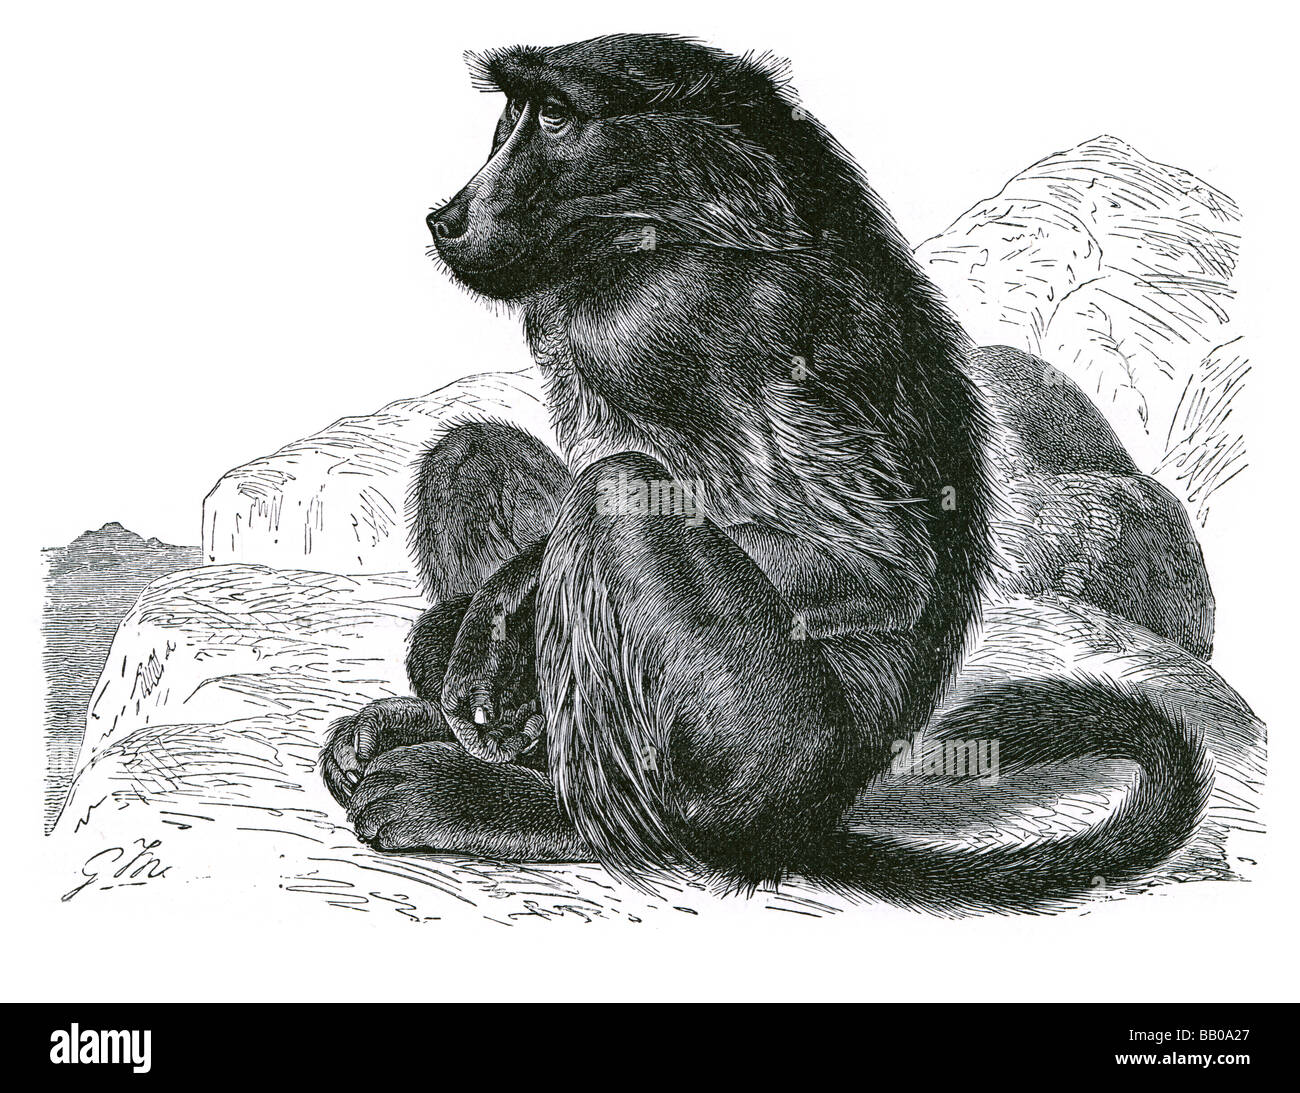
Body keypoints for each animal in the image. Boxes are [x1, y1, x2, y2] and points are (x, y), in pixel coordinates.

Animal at [318, 33, 1212, 913]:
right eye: (510, 115)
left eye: (559, 119)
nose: (447, 216)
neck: (669, 227)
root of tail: (809, 814)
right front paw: (461, 650)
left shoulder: (717, 310)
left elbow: (879, 570)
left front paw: (497, 607)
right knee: (468, 454)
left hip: (767, 745)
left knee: (618, 499)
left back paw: (540, 812)